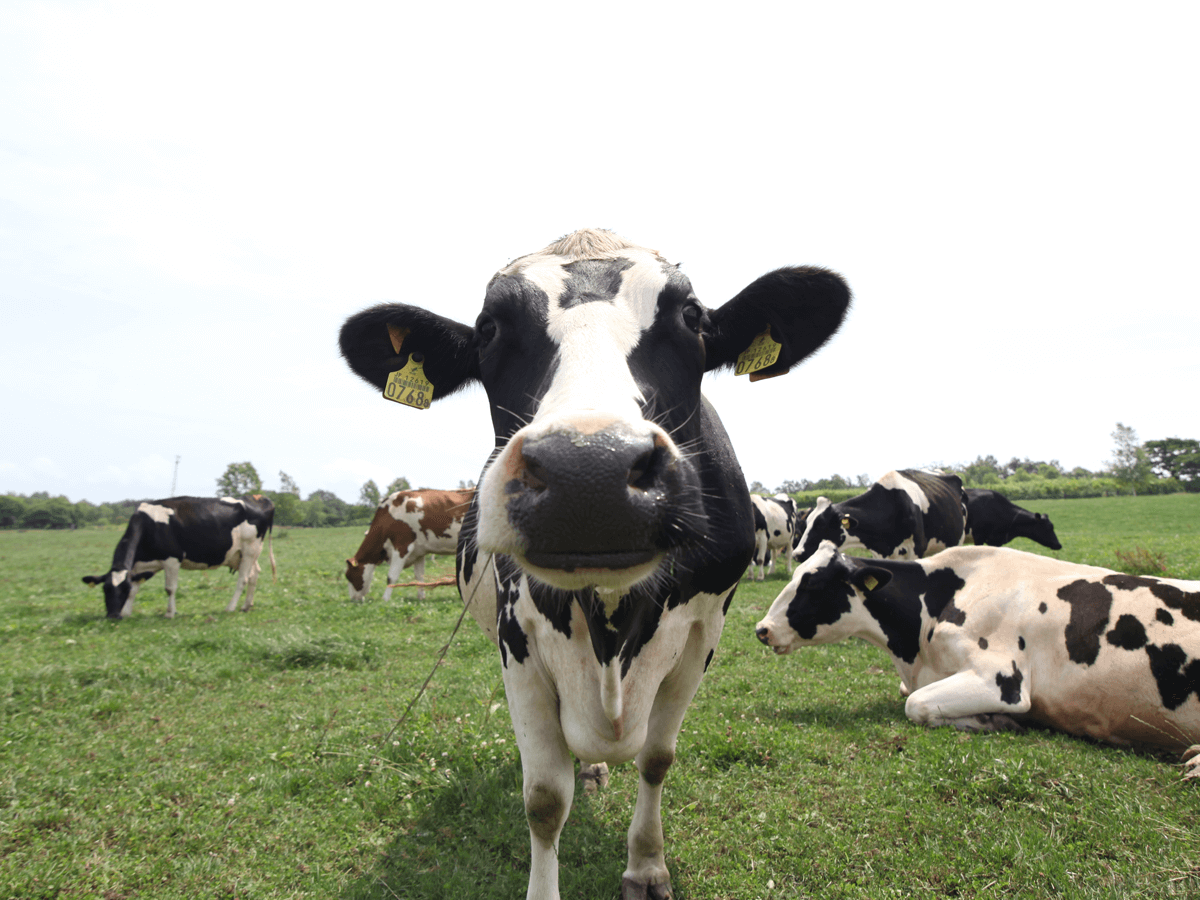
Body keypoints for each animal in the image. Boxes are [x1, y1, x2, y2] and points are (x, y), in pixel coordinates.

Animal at [83, 496, 274, 624]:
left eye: (122, 589)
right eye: (105, 589)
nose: (113, 616)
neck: (149, 525)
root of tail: (258, 499)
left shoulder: (172, 559)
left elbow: (170, 589)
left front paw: (170, 613)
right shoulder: (139, 567)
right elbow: (135, 589)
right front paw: (127, 612)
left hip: (250, 548)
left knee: (243, 579)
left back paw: (231, 607)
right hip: (240, 554)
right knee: (254, 575)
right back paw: (246, 606)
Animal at [343, 489, 472, 602]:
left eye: (348, 576)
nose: (353, 599)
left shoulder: (402, 546)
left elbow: (391, 576)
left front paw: (385, 600)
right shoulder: (419, 551)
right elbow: (419, 576)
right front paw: (421, 597)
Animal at [753, 542, 1200, 782]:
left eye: (813, 585)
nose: (762, 629)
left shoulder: (1001, 678)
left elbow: (915, 704)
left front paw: (994, 720)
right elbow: (910, 695)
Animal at [792, 472, 969, 564]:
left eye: (821, 524)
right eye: (806, 523)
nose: (797, 554)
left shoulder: (916, 550)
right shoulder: (879, 553)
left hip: (957, 542)